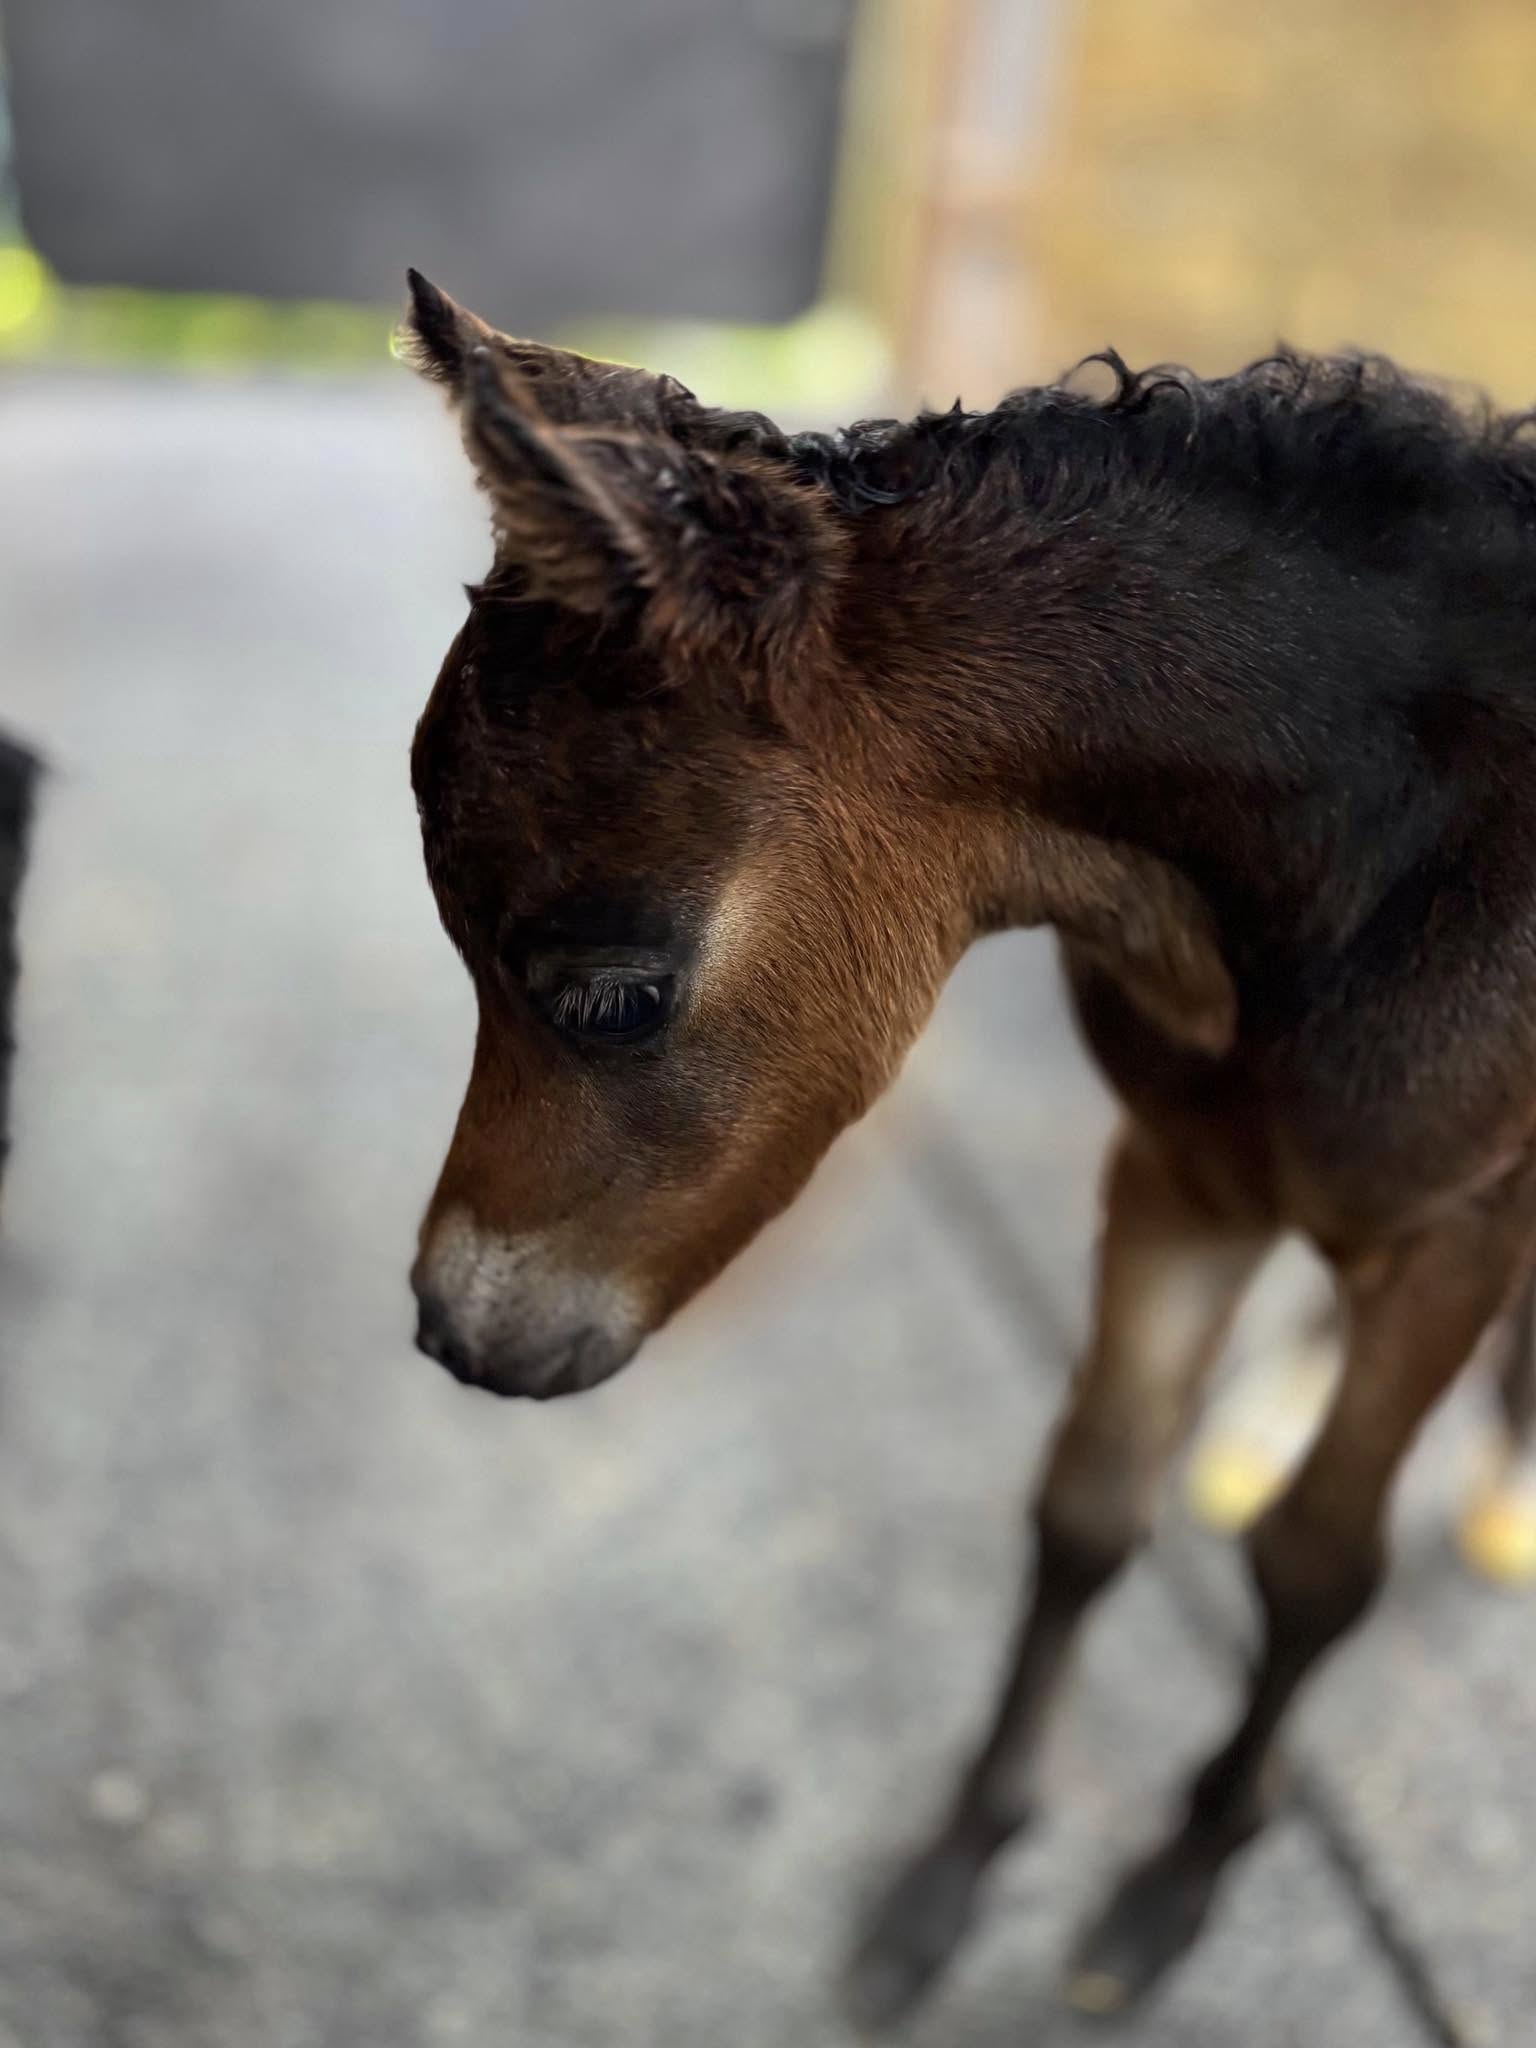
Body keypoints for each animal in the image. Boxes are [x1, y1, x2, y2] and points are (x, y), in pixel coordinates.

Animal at [399, 269, 1536, 2019]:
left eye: (612, 992)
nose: (458, 1328)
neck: (1382, 865)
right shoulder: (1185, 1171)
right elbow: (1086, 1504)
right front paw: (949, 1879)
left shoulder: (1452, 1229)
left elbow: (1317, 1569)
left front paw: (1169, 1895)